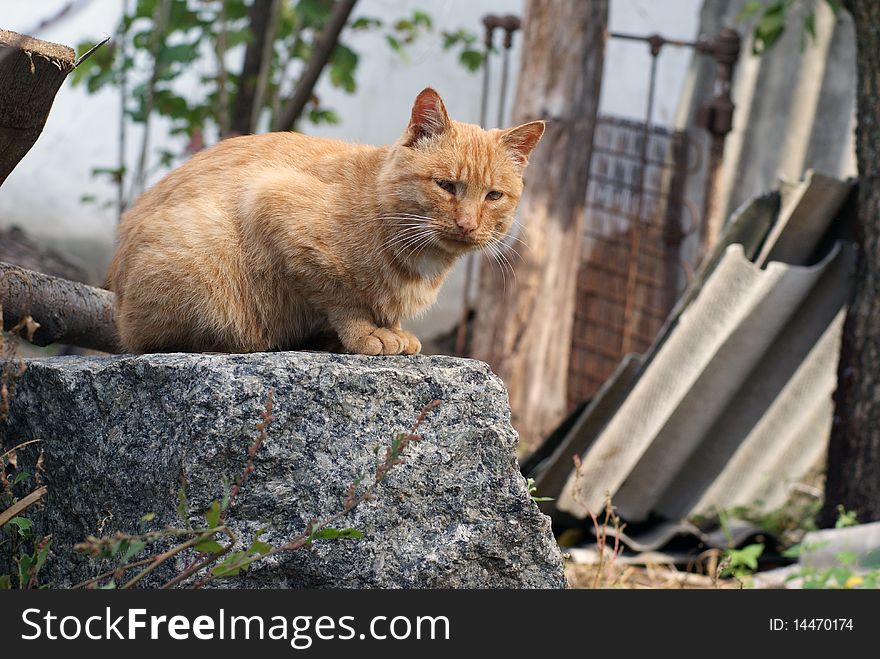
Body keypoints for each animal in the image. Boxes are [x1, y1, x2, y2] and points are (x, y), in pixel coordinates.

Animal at [106, 90, 540, 356]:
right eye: (446, 185)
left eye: (493, 196)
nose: (467, 224)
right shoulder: (273, 203)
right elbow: (342, 297)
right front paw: (367, 333)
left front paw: (393, 328)